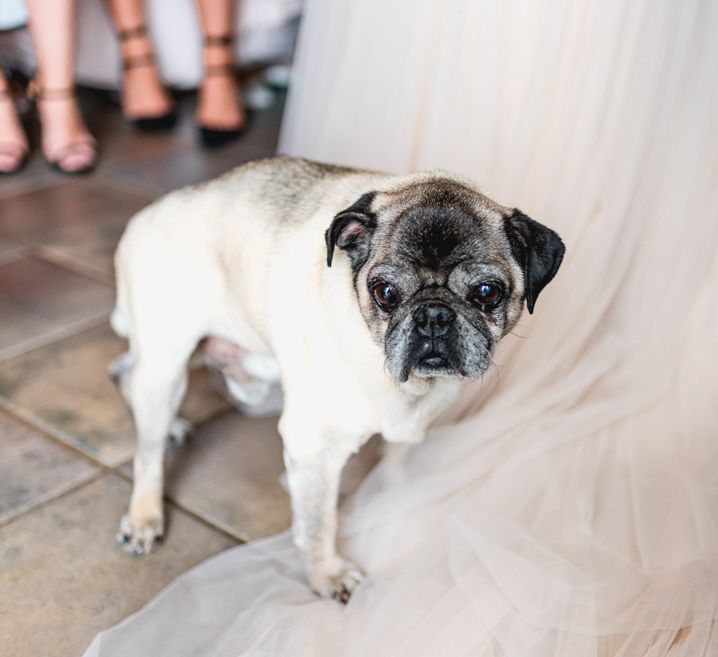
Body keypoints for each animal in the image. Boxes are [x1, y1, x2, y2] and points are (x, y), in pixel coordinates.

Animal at [109, 154, 564, 600]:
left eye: (487, 293)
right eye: (385, 293)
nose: (433, 315)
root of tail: (145, 216)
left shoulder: (407, 426)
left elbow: (395, 463)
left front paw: (397, 499)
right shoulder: (314, 446)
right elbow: (318, 523)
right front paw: (327, 574)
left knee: (124, 372)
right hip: (167, 361)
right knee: (147, 449)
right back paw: (145, 515)